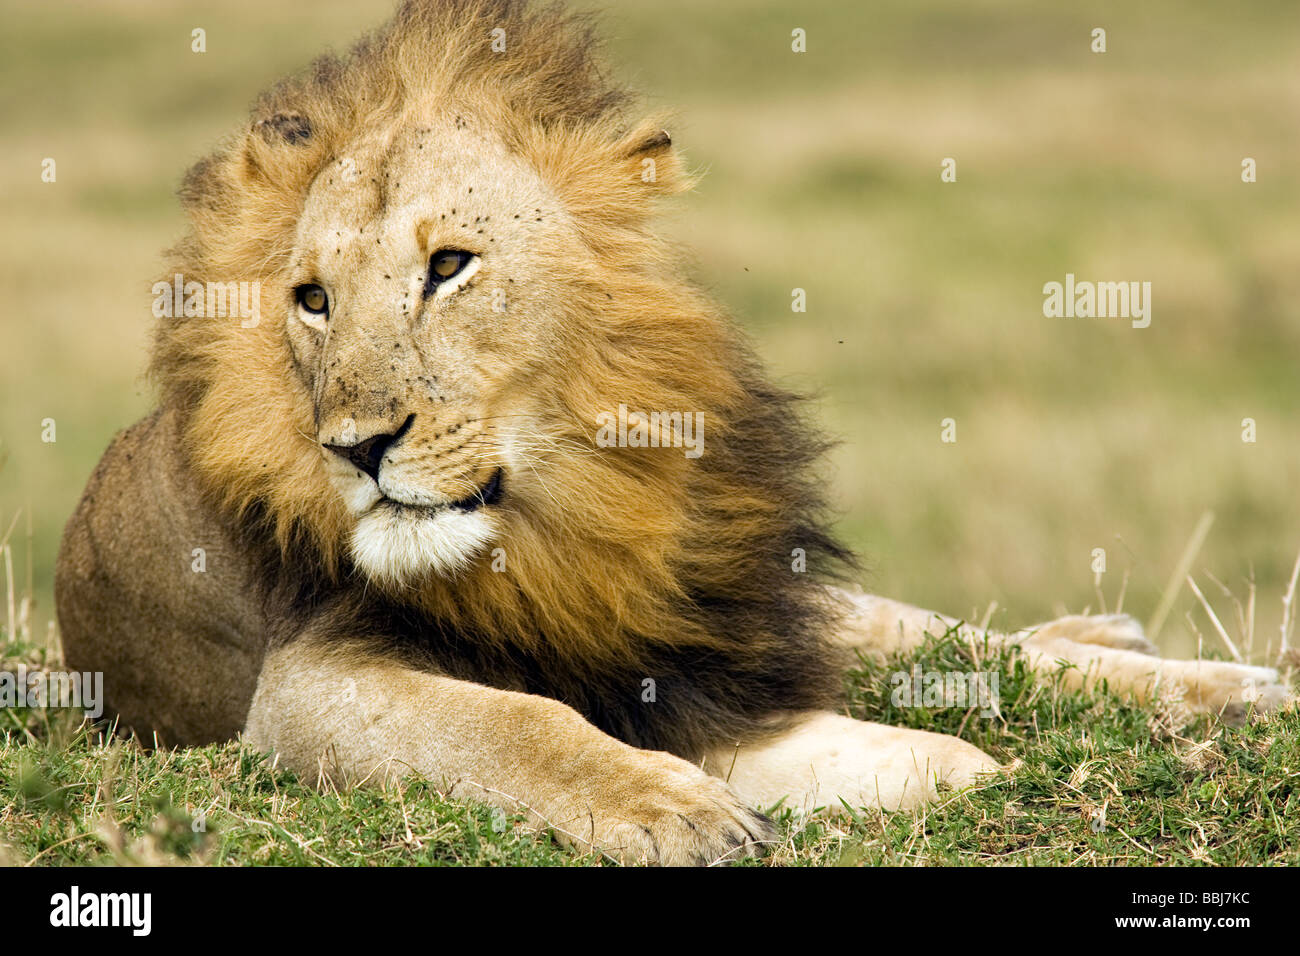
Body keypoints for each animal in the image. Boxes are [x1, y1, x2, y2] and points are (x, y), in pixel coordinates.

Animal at [55, 0, 1290, 865]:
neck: (571, 519)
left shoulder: (708, 629)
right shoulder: (302, 690)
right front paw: (677, 805)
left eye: (449, 266)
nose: (354, 446)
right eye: (311, 299)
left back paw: (1202, 673)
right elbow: (517, 727)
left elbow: (956, 670)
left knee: (960, 635)